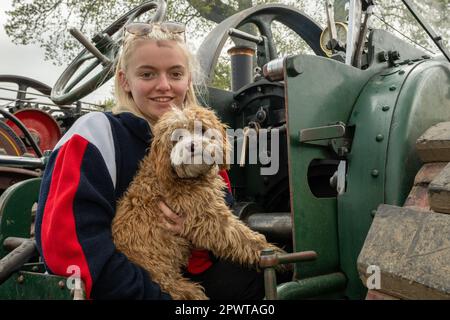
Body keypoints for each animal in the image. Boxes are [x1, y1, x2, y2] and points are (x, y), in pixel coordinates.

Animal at [111, 105, 284, 300]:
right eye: (177, 137)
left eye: (201, 129)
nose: (191, 145)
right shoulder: (209, 219)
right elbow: (242, 237)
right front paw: (274, 253)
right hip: (171, 283)